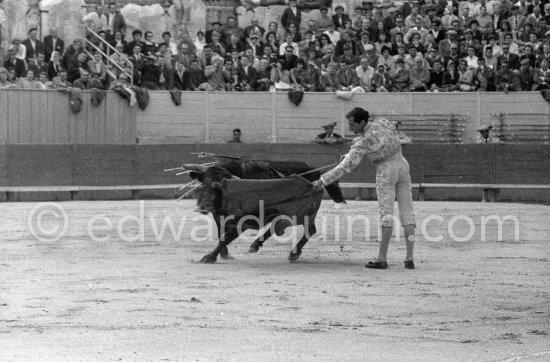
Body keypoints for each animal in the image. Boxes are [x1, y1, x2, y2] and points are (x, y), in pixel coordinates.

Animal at [181, 159, 344, 264]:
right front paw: (224, 254)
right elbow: (222, 234)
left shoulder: (243, 222)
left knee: (310, 230)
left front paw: (209, 257)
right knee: (276, 227)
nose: (204, 206)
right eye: (203, 183)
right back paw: (255, 245)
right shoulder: (218, 217)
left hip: (306, 212)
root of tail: (316, 172)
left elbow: (226, 237)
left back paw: (294, 253)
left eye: (218, 187)